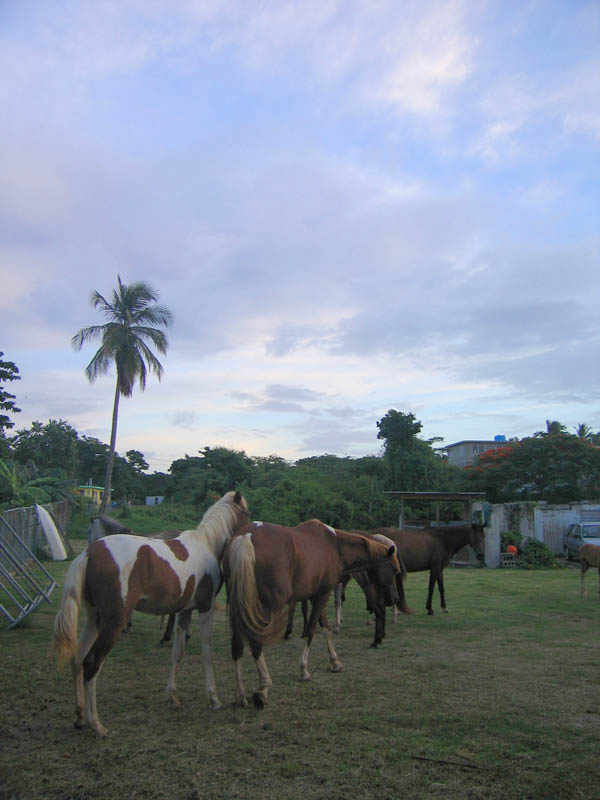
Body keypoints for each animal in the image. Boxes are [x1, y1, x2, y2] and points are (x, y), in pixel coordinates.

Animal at [223, 520, 400, 708]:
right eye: (393, 569)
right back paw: (263, 688)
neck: (335, 545)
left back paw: (240, 696)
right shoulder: (323, 594)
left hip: (239, 606)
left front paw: (335, 662)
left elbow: (325, 629)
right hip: (268, 606)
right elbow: (311, 630)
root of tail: (246, 536)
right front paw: (304, 669)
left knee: (237, 646)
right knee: (256, 643)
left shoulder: (316, 595)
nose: (394, 599)